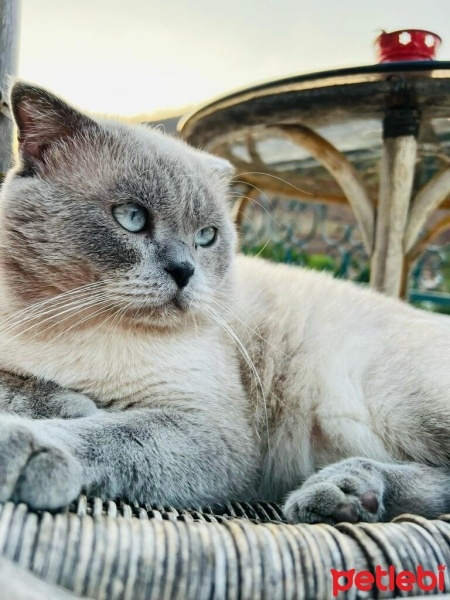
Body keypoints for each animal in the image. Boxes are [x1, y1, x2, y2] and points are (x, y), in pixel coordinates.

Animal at [0, 82, 450, 524]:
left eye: (206, 236)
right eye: (131, 217)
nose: (184, 271)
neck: (66, 324)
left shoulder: (204, 428)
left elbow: (104, 432)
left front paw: (34, 437)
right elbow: (19, 384)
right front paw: (69, 403)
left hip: (401, 403)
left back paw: (342, 491)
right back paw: (349, 495)